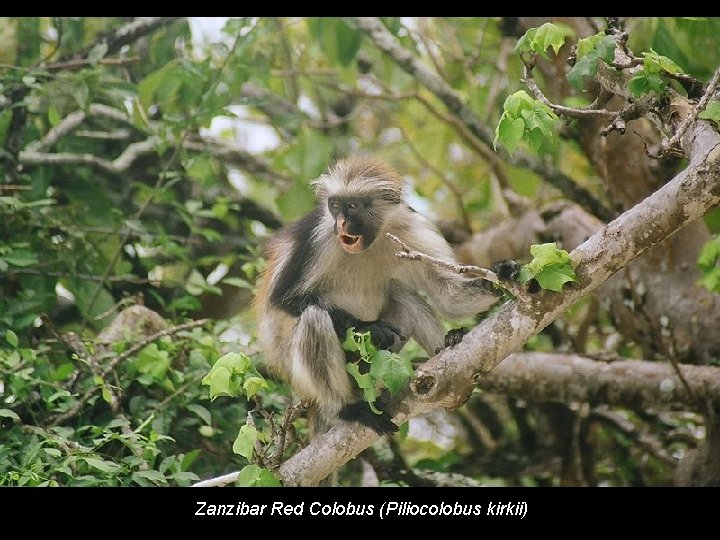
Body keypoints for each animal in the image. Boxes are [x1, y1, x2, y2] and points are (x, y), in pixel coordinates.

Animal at [256, 156, 510, 434]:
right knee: (314, 316)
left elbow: (447, 295)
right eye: (334, 206)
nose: (340, 223)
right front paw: (369, 328)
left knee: (403, 294)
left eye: (352, 206)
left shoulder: (412, 227)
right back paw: (346, 408)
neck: (370, 242)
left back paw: (447, 349)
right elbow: (284, 300)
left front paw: (503, 276)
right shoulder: (318, 235)